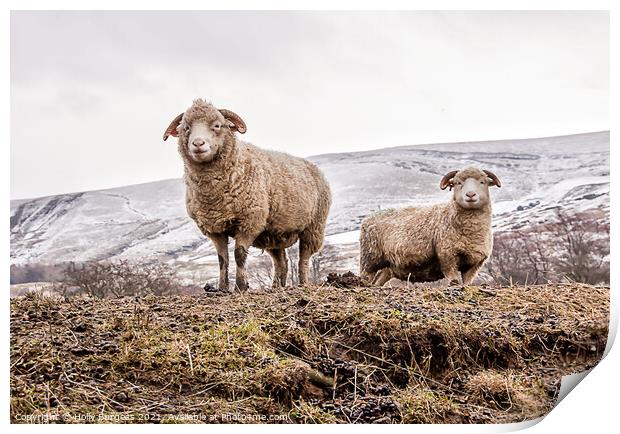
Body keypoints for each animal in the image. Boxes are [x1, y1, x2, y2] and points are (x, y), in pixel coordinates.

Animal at [162, 98, 332, 292]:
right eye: (186, 128)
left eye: (217, 125)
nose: (198, 144)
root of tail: (313, 167)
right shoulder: (215, 228)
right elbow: (222, 259)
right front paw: (222, 288)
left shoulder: (249, 221)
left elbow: (239, 254)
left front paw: (241, 286)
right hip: (274, 233)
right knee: (282, 262)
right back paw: (276, 287)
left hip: (313, 227)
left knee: (304, 258)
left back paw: (303, 283)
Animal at [360, 168, 502, 286]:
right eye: (458, 183)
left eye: (482, 182)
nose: (471, 194)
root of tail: (368, 219)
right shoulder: (447, 255)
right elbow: (454, 280)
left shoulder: (474, 263)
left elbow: (466, 282)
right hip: (369, 258)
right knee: (366, 275)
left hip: (387, 266)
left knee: (378, 281)